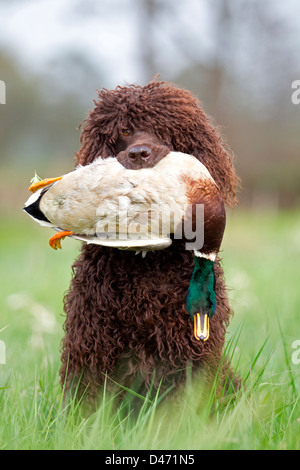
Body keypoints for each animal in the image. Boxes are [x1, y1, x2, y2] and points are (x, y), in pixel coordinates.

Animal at [59, 79, 240, 402]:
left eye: (164, 127)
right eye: (124, 130)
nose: (138, 154)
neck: (149, 263)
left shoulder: (189, 347)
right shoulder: (92, 339)